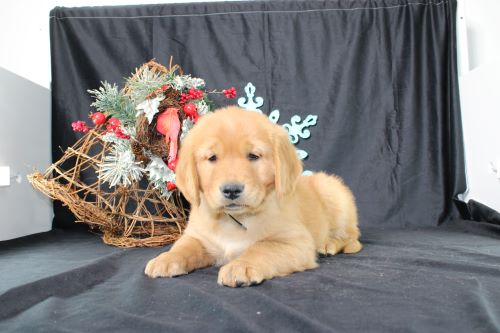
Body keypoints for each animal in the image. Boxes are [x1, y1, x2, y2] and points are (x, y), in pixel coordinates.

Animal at [146, 105, 364, 286]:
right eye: (212, 158)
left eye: (253, 156)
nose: (231, 190)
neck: (235, 219)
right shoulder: (198, 236)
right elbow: (183, 246)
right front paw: (165, 259)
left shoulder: (295, 242)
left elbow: (262, 248)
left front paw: (240, 266)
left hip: (334, 194)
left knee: (353, 237)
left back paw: (329, 244)